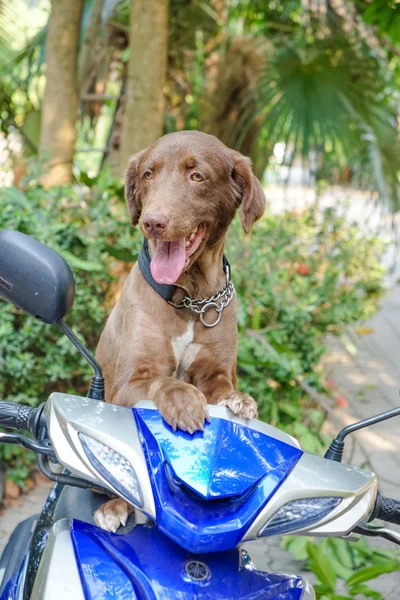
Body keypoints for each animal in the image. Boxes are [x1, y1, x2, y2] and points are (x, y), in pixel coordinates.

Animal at [92, 130, 264, 528]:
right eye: (148, 174)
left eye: (196, 176)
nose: (152, 222)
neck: (190, 299)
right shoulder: (128, 382)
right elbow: (163, 381)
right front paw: (184, 401)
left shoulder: (216, 372)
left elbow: (224, 390)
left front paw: (240, 399)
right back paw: (114, 507)